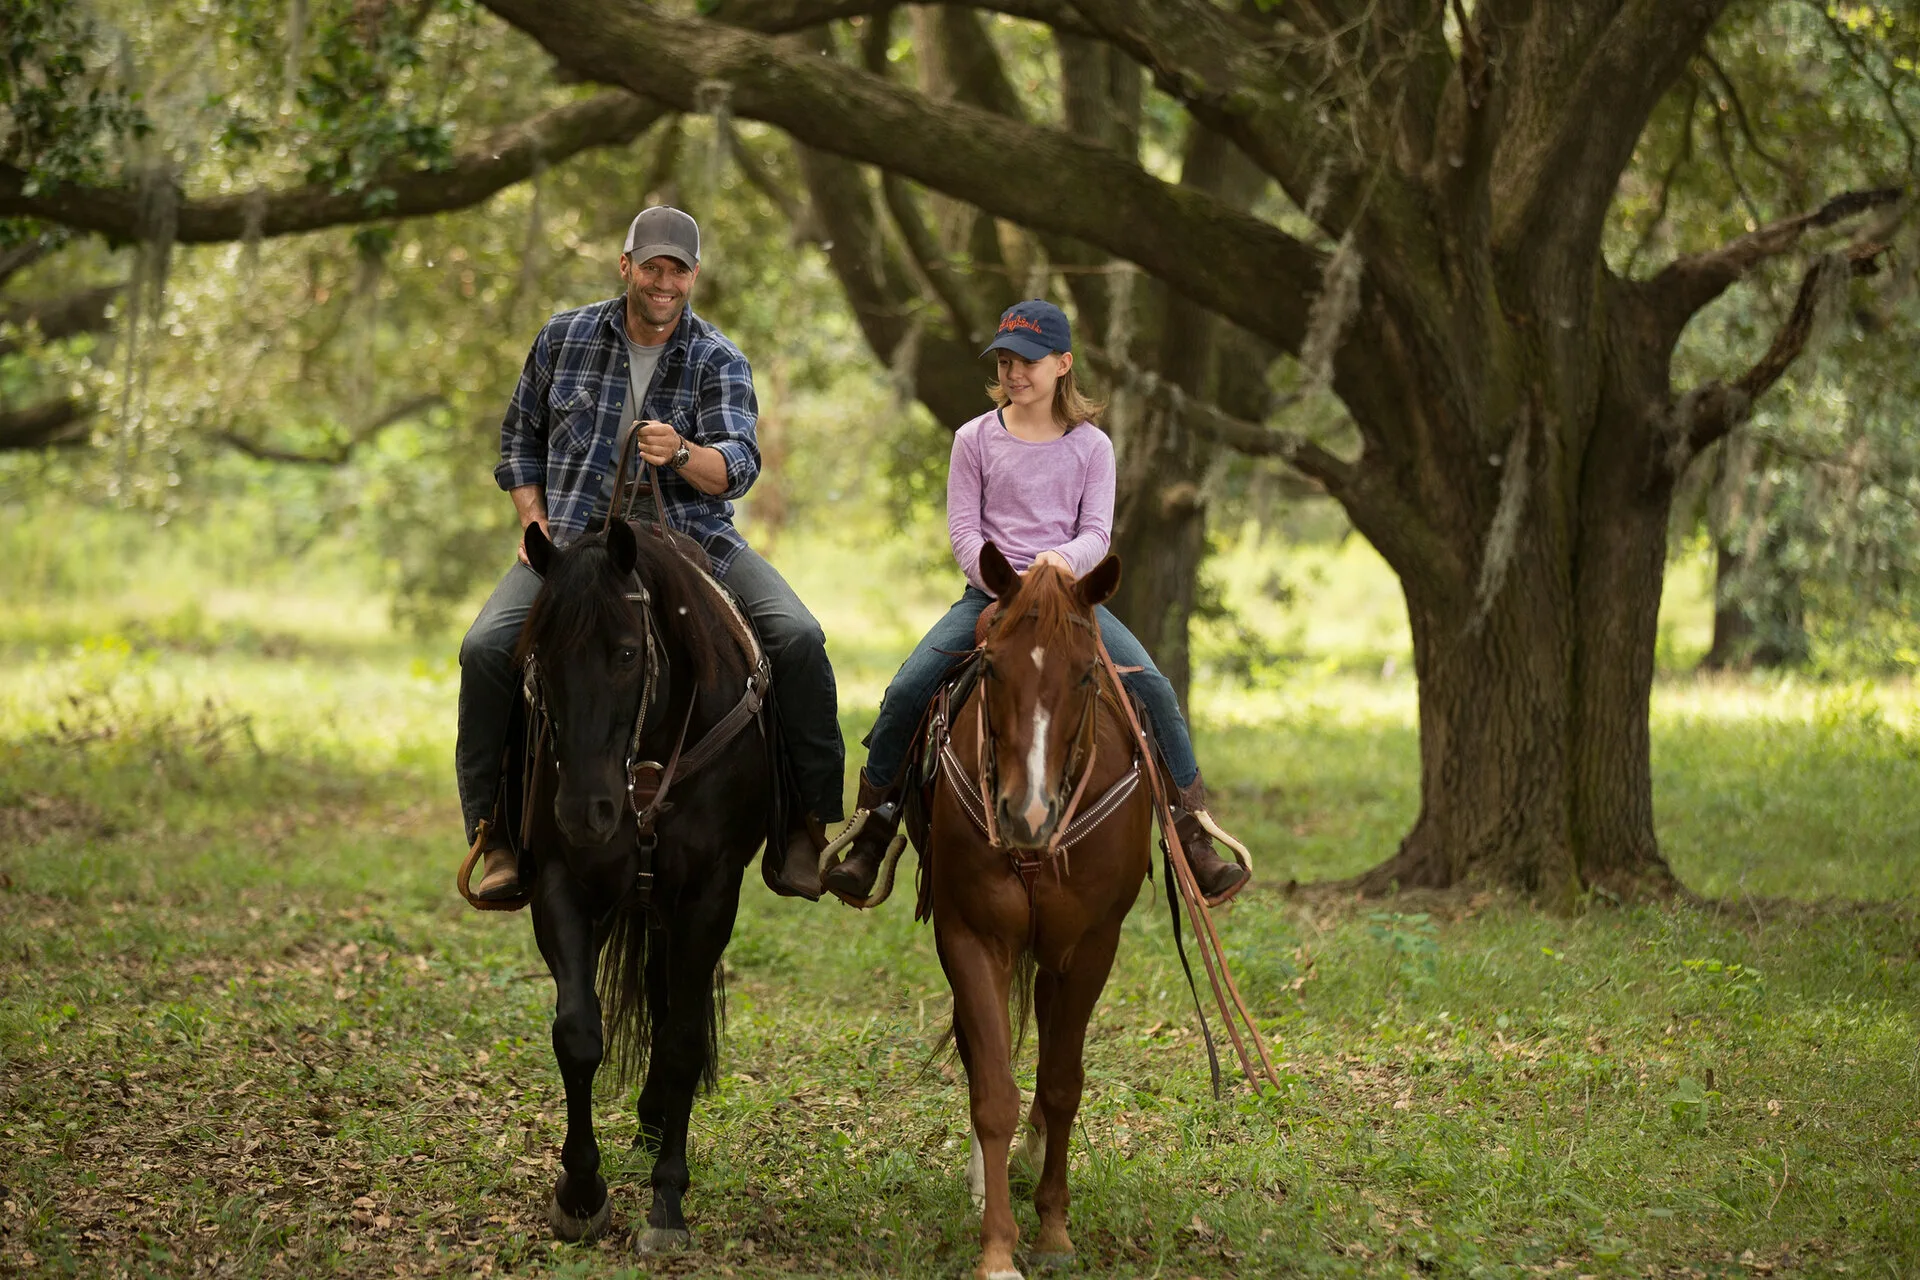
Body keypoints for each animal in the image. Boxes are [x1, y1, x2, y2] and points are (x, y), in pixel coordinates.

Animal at [518, 518, 779, 1251]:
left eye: (628, 653)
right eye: (538, 657)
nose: (586, 812)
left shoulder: (711, 895)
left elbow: (685, 1040)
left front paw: (666, 1202)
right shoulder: (561, 882)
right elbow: (578, 1033)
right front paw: (580, 1194)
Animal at [929, 545, 1152, 1280]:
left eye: (1085, 673)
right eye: (992, 667)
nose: (1026, 815)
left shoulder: (1091, 947)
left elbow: (1060, 1084)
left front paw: (1053, 1230)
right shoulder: (970, 937)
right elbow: (993, 1088)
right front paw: (998, 1246)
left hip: (1058, 955)